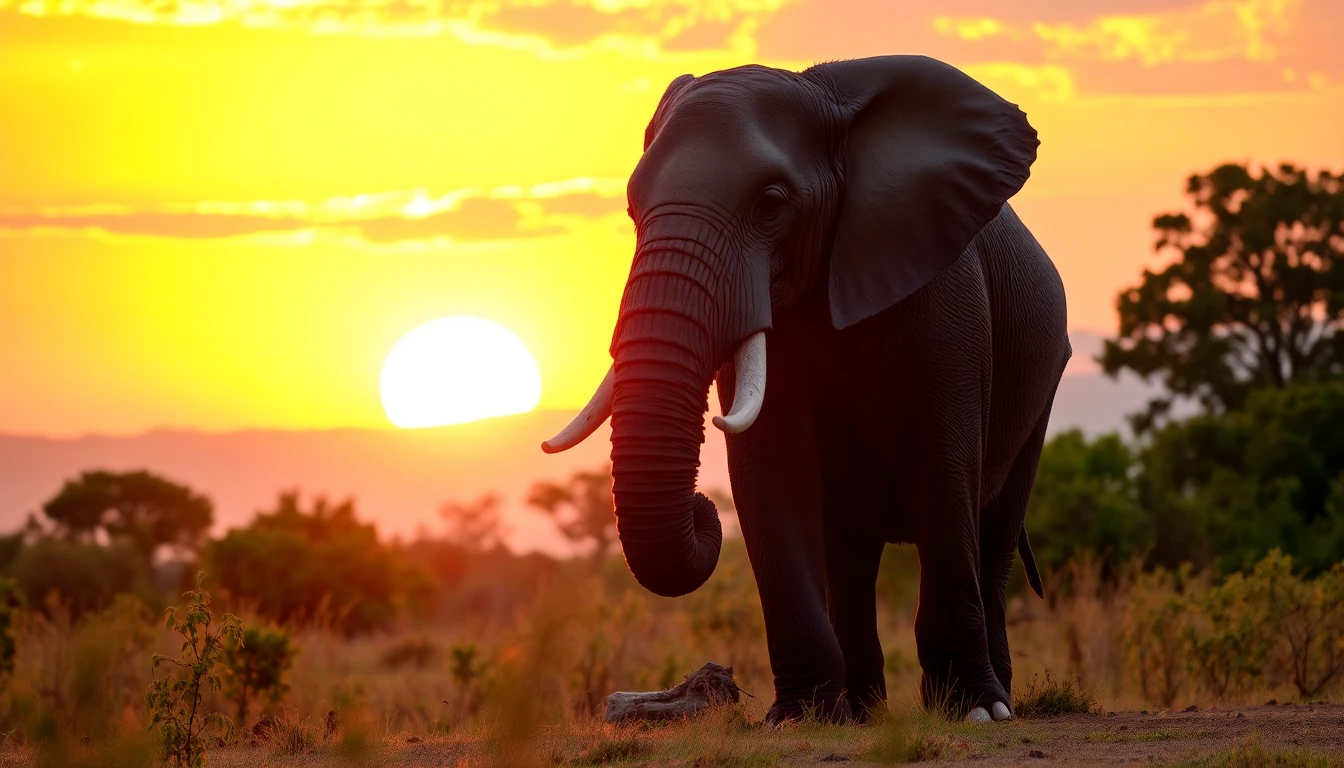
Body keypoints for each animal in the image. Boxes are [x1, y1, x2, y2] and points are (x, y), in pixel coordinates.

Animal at [541, 55, 1070, 726]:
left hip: (1046, 376)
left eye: (771, 203)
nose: (703, 509)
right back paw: (862, 713)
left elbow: (944, 465)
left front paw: (973, 712)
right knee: (851, 552)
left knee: (995, 524)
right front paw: (800, 717)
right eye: (635, 209)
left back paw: (995, 702)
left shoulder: (949, 298)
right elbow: (771, 471)